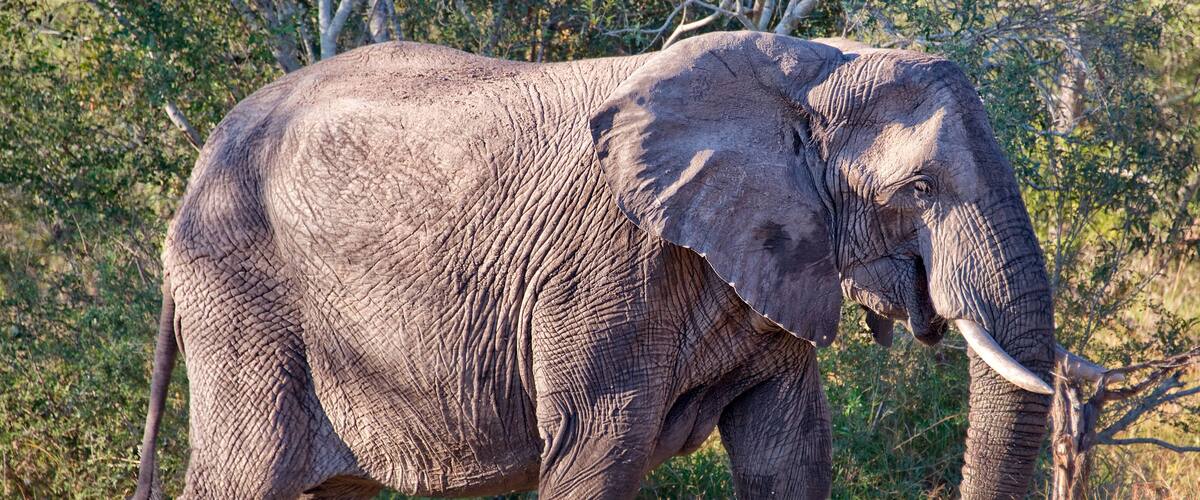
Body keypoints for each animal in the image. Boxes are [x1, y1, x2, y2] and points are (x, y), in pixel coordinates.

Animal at [132, 31, 1102, 499]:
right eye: (921, 188)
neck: (813, 68)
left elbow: (789, 454)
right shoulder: (604, 269)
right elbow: (601, 448)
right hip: (242, 293)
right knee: (247, 475)